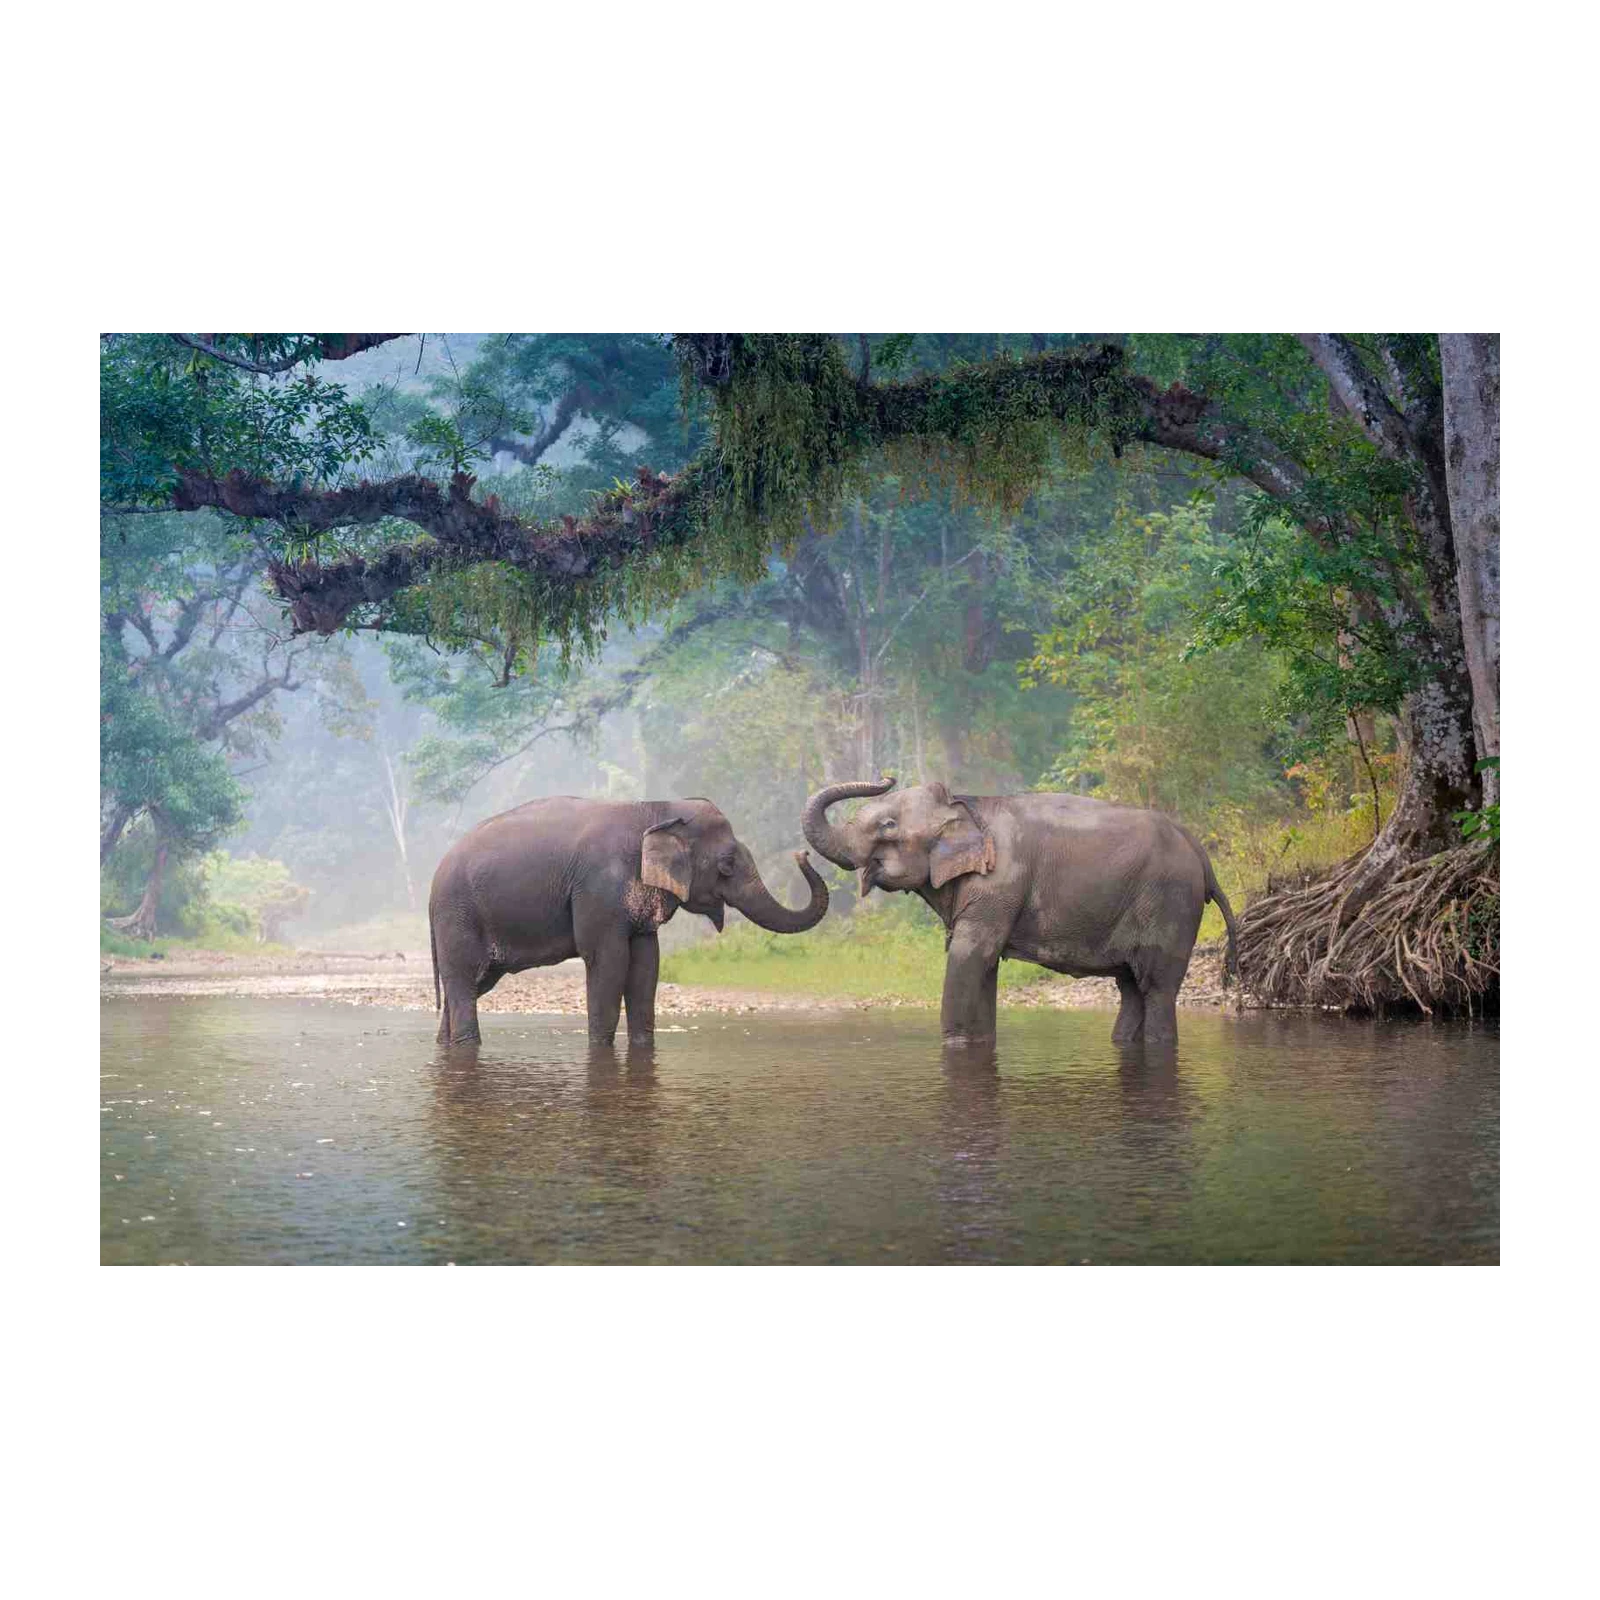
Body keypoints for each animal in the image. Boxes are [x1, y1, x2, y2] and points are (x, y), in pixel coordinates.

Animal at [429, 796, 828, 1047]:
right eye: (727, 865)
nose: (802, 854)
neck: (654, 809)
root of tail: (434, 879)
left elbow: (646, 964)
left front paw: (642, 1045)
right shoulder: (598, 888)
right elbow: (608, 961)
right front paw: (600, 1047)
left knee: (473, 984)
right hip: (458, 915)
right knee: (464, 980)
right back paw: (466, 1045)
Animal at [802, 776, 1239, 1047]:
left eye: (888, 825)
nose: (887, 775)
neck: (966, 804)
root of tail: (1200, 853)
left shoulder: (999, 884)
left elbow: (969, 957)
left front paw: (954, 1044)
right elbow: (984, 966)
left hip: (1170, 904)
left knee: (1156, 987)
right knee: (1131, 987)